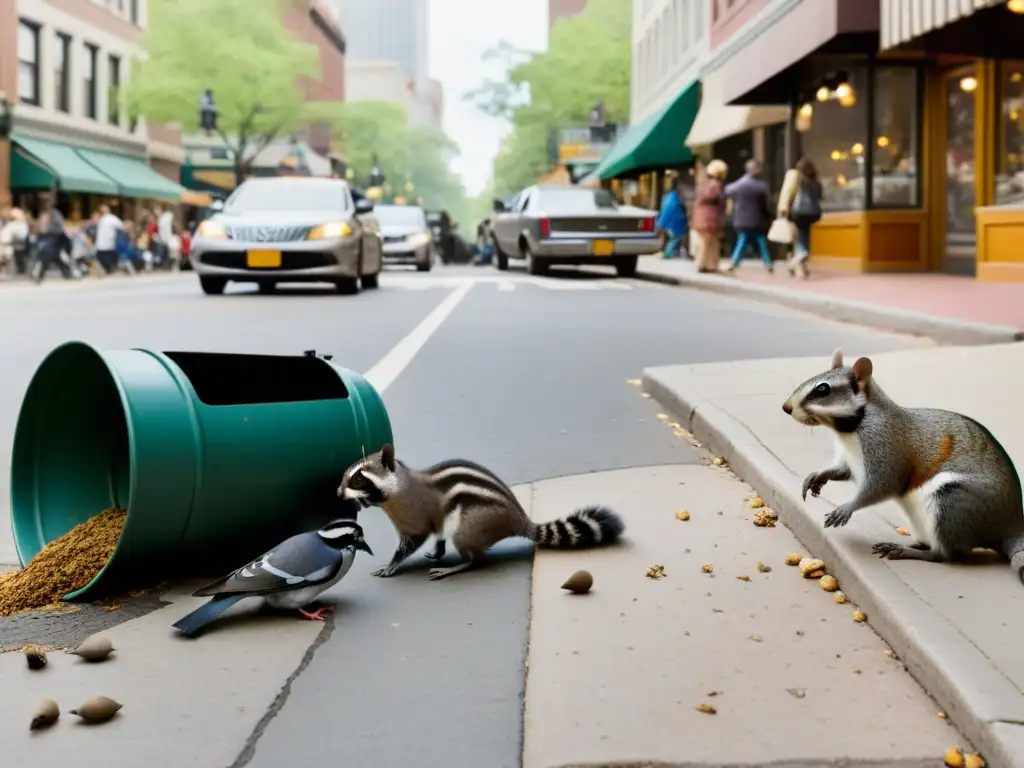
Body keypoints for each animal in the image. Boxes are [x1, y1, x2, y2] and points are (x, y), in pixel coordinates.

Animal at [337, 444, 622, 581]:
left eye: (358, 479)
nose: (338, 493)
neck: (401, 484)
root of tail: (518, 519)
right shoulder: (435, 521)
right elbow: (438, 535)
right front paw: (438, 551)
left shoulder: (416, 517)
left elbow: (410, 543)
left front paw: (393, 563)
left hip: (472, 522)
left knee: (471, 552)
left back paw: (461, 564)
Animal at [782, 350, 1024, 581]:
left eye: (823, 389)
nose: (786, 407)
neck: (851, 428)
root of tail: (1008, 526)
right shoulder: (849, 460)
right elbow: (841, 471)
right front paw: (817, 476)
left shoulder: (886, 448)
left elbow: (883, 486)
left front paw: (848, 506)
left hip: (953, 504)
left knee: (942, 555)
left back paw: (907, 551)